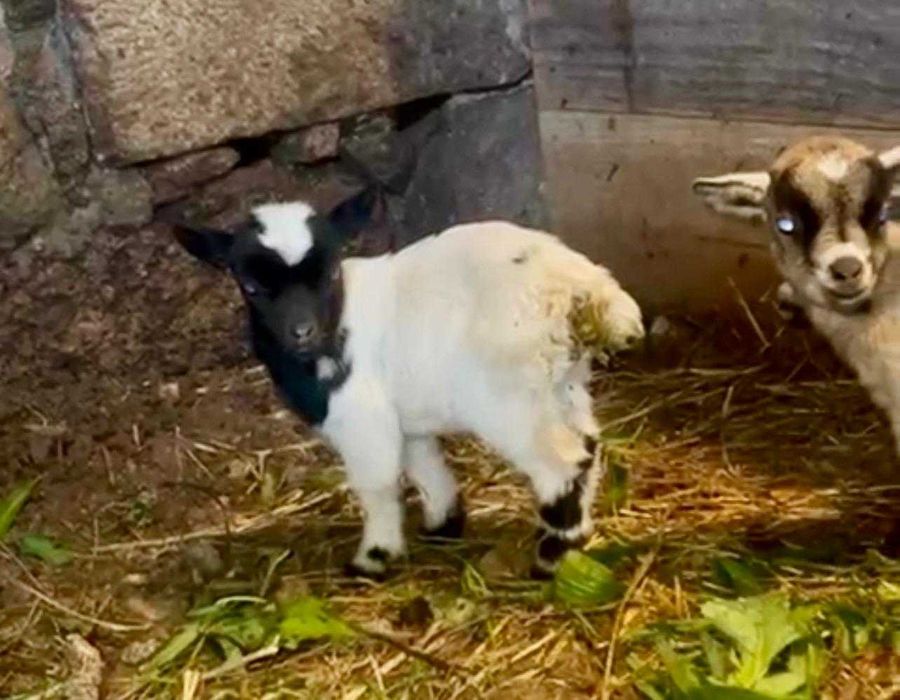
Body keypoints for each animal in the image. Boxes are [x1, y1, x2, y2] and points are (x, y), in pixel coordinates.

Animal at [173, 189, 644, 577]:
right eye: (250, 285)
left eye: (331, 273)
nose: (302, 332)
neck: (339, 320)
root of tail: (582, 288)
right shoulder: (404, 419)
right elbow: (424, 466)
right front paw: (444, 524)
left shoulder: (362, 418)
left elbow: (378, 485)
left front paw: (373, 559)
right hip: (561, 383)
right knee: (588, 446)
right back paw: (577, 536)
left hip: (510, 399)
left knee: (561, 462)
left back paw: (551, 557)